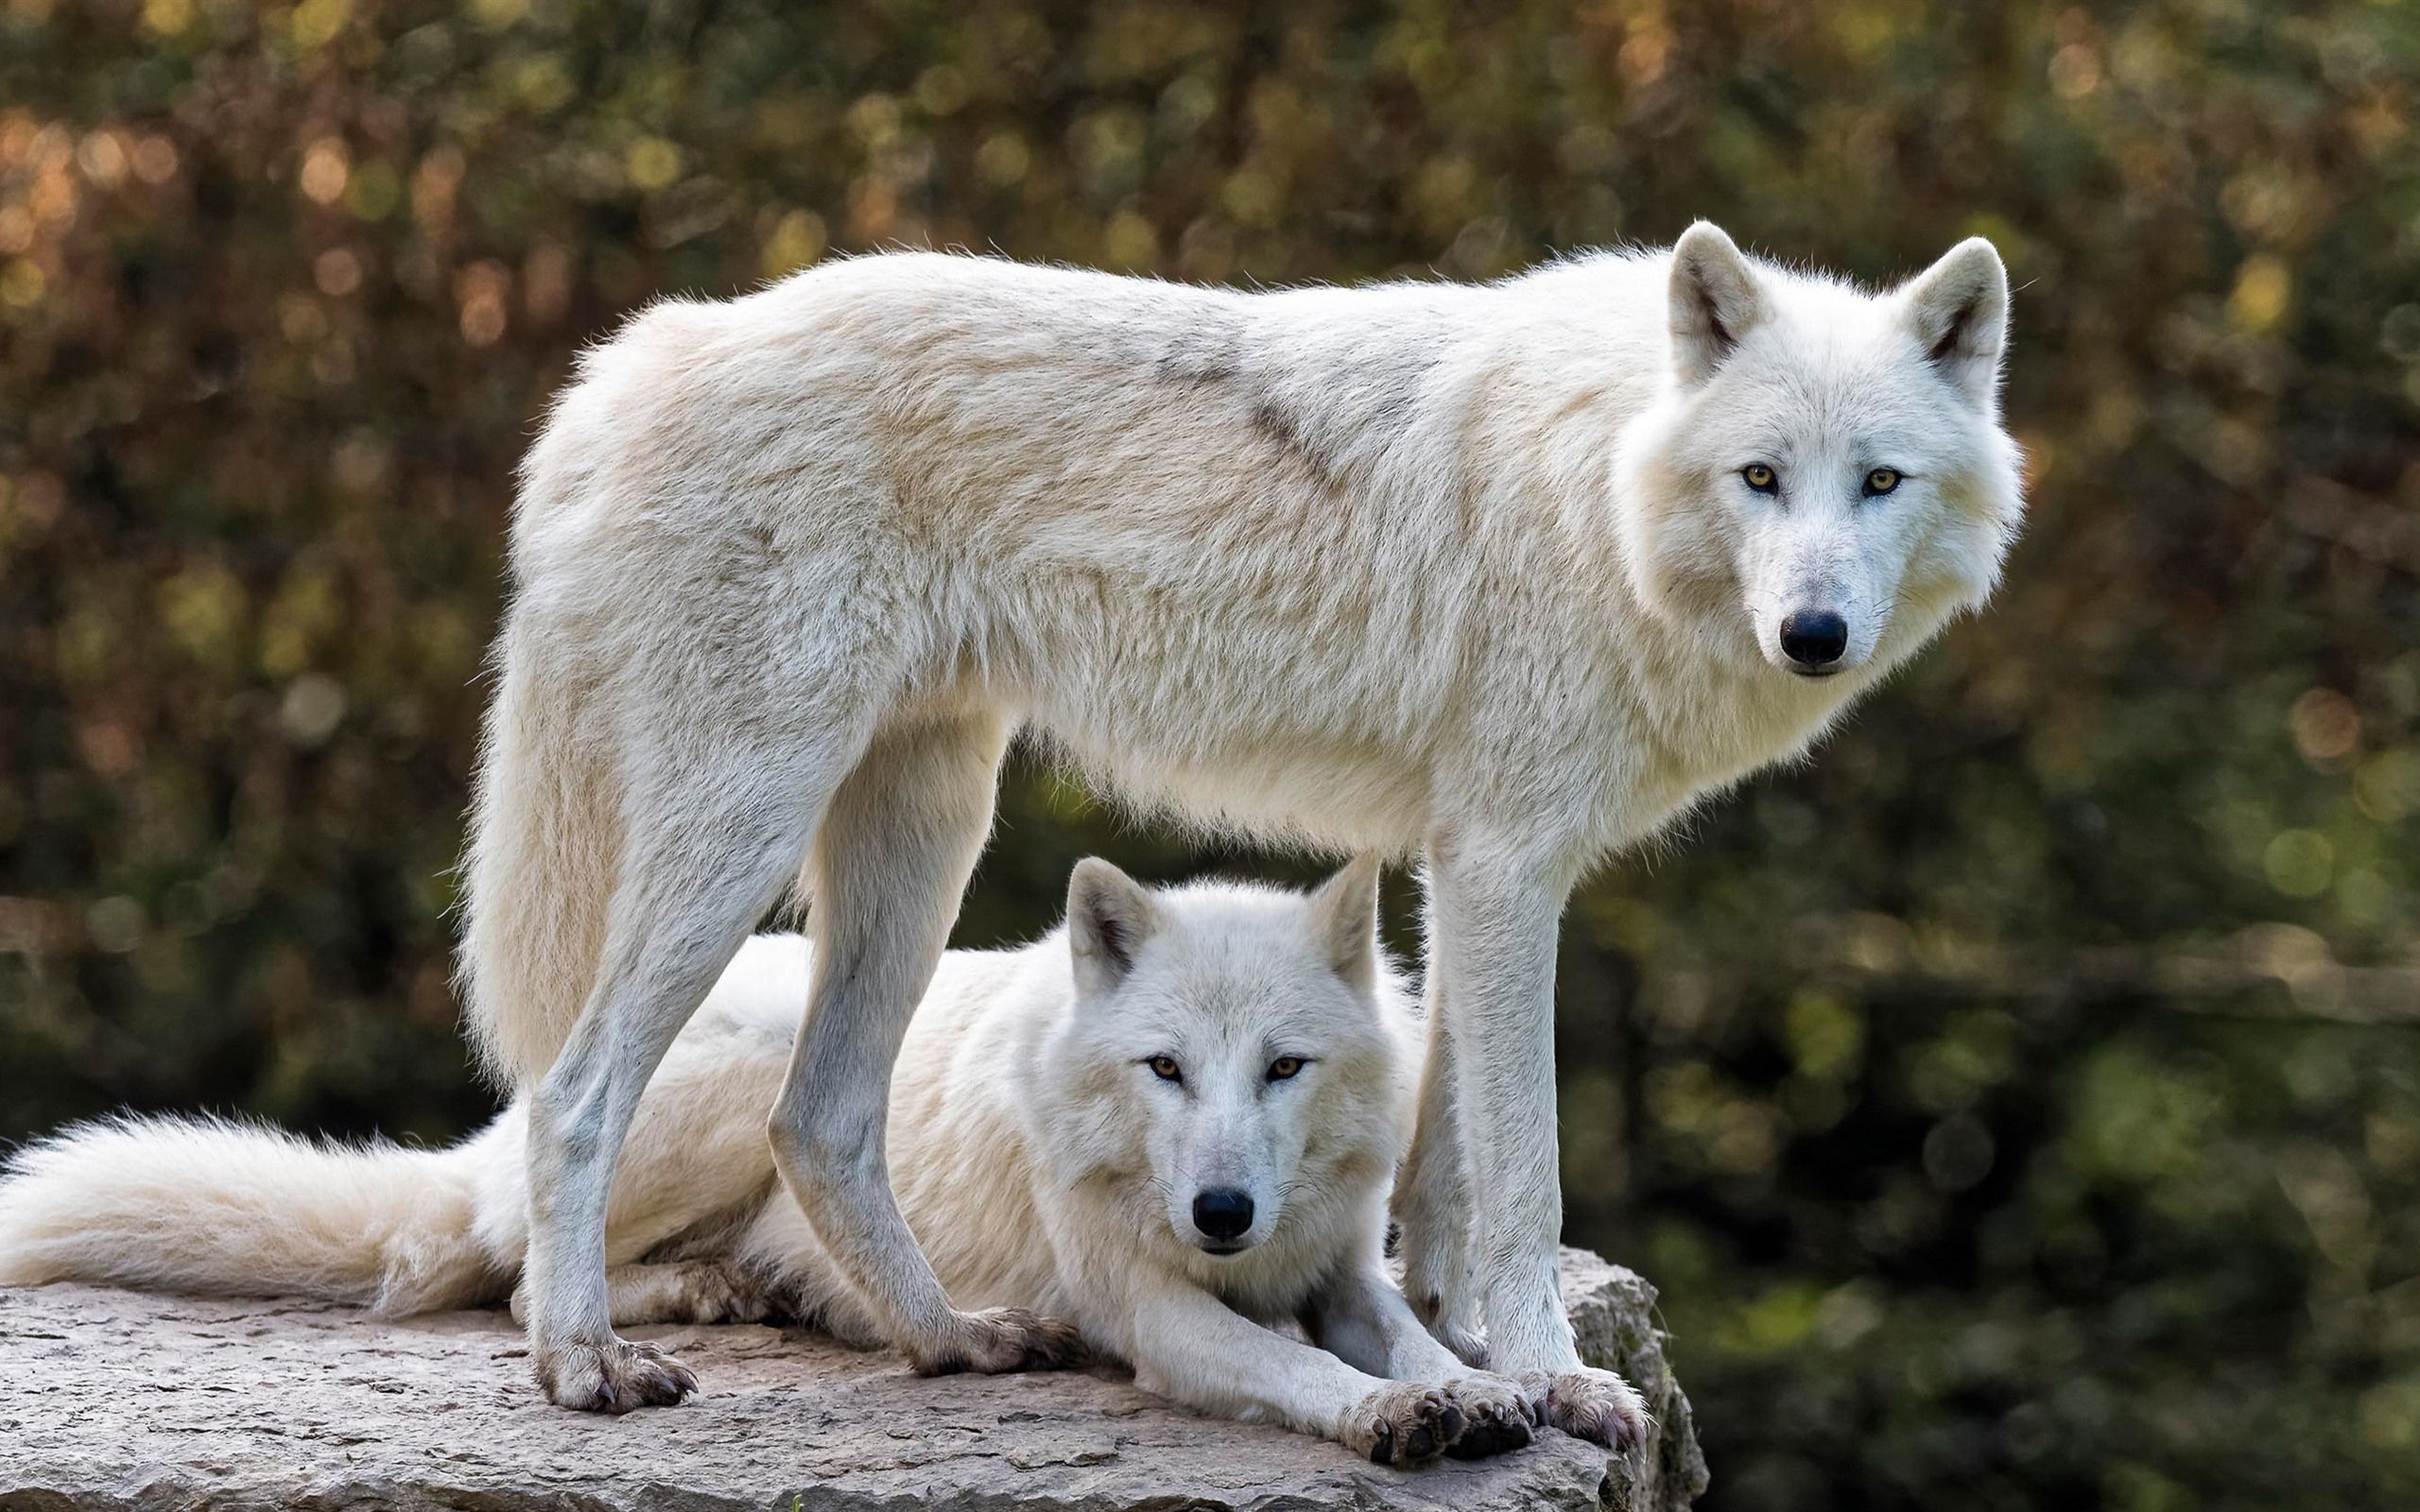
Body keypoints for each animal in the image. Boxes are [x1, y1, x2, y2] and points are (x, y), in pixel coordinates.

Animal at [0, 866, 1539, 1470]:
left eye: (1282, 1066)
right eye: (1166, 1069)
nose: (1222, 1212)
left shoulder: (1341, 1265)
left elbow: (1413, 1337)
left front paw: (1498, 1391)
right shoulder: (1152, 1314)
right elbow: (1298, 1367)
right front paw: (1392, 1420)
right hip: (734, 1094)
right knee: (518, 1276)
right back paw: (695, 1306)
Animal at [457, 217, 2023, 1432]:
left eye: (1878, 482)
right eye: (1761, 477)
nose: (1813, 634)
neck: (1600, 488)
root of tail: (646, 353)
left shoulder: (1462, 869)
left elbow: (1442, 1170)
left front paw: (1454, 1347)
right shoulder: (1509, 869)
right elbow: (1525, 1171)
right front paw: (1557, 1377)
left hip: (926, 833)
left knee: (821, 1118)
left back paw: (951, 1340)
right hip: (748, 834)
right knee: (576, 1092)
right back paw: (583, 1362)